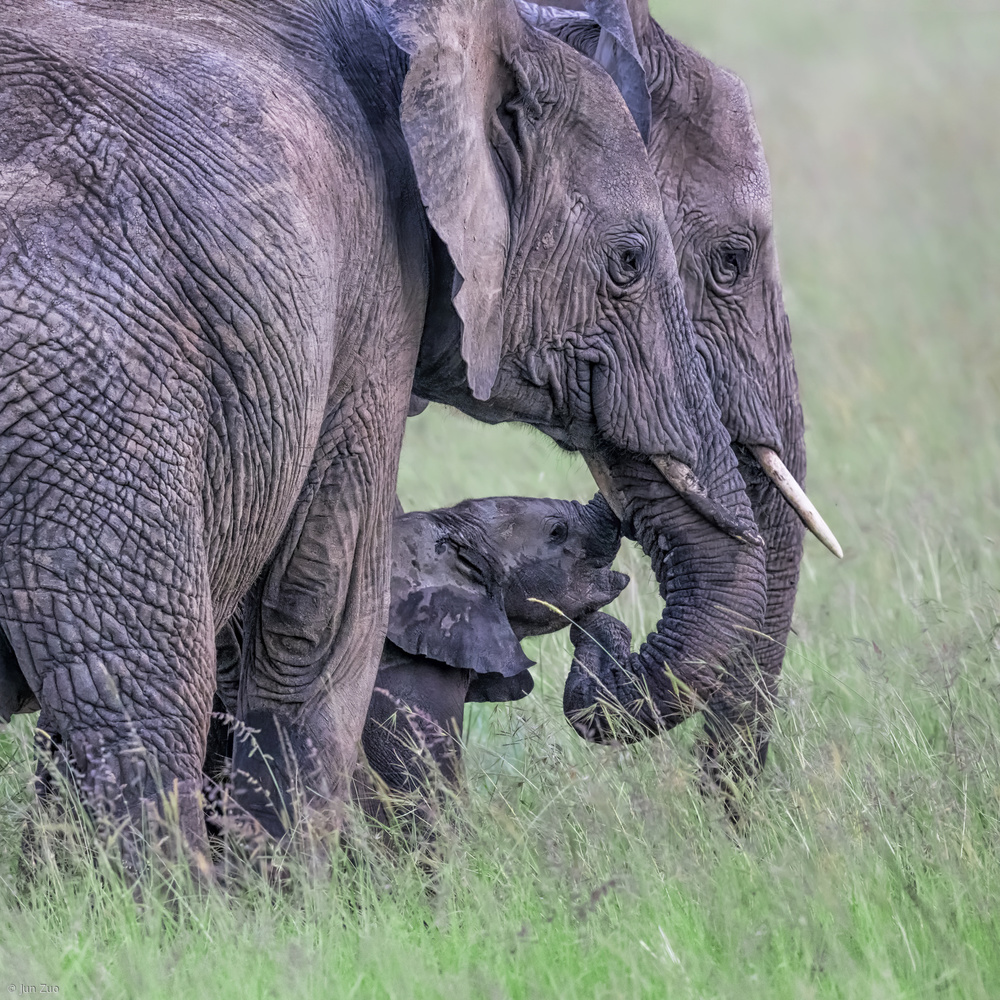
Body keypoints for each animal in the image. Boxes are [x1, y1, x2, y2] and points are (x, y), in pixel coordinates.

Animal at [0, 0, 766, 857]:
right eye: (629, 262)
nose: (603, 638)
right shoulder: (370, 292)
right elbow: (315, 617)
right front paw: (286, 891)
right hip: (98, 394)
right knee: (135, 695)